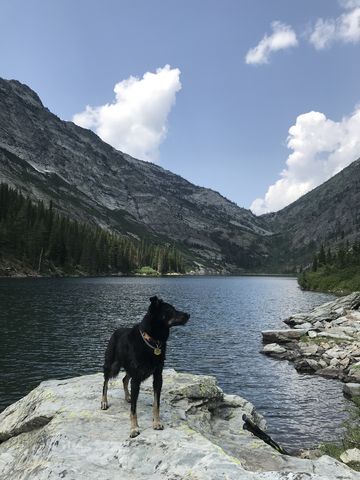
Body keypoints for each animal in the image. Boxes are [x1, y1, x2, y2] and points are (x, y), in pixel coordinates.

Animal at [100, 294, 190, 436]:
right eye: (170, 310)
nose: (188, 315)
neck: (153, 342)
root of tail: (116, 331)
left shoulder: (158, 377)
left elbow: (156, 404)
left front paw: (157, 422)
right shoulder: (136, 379)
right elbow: (133, 409)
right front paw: (134, 428)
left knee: (124, 379)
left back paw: (128, 397)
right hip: (111, 365)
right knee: (105, 383)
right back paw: (104, 402)